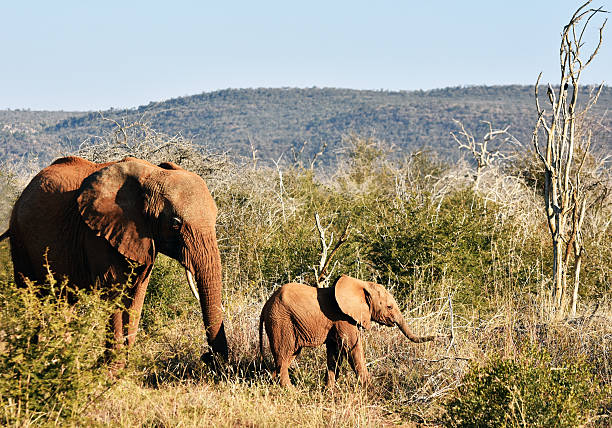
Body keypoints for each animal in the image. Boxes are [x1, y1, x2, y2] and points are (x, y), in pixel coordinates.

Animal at [0, 155, 227, 360]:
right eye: (175, 224)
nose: (206, 357)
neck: (153, 175)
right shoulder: (97, 234)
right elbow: (114, 290)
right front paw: (111, 368)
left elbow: (137, 293)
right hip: (20, 237)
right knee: (30, 294)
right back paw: (33, 357)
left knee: (64, 300)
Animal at [256, 274, 436, 388]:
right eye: (389, 307)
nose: (435, 337)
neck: (362, 284)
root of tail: (265, 306)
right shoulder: (343, 317)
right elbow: (351, 347)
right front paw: (370, 389)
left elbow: (335, 352)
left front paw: (329, 390)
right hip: (281, 321)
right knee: (283, 354)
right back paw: (290, 391)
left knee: (287, 356)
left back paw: (273, 383)